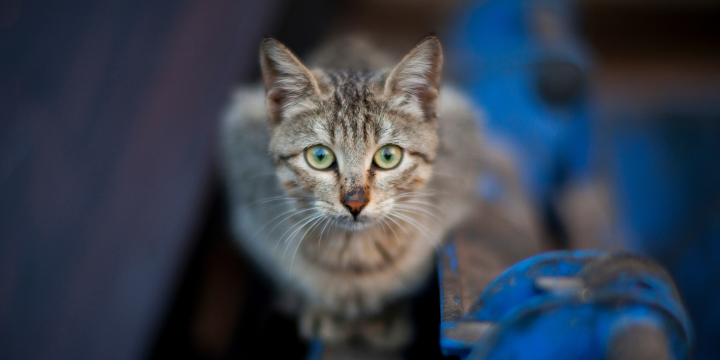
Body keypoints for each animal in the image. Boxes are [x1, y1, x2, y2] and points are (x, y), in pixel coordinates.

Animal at [219, 35, 484, 348]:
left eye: (388, 156)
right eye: (319, 156)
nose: (355, 203)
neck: (354, 255)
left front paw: (388, 314)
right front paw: (320, 308)